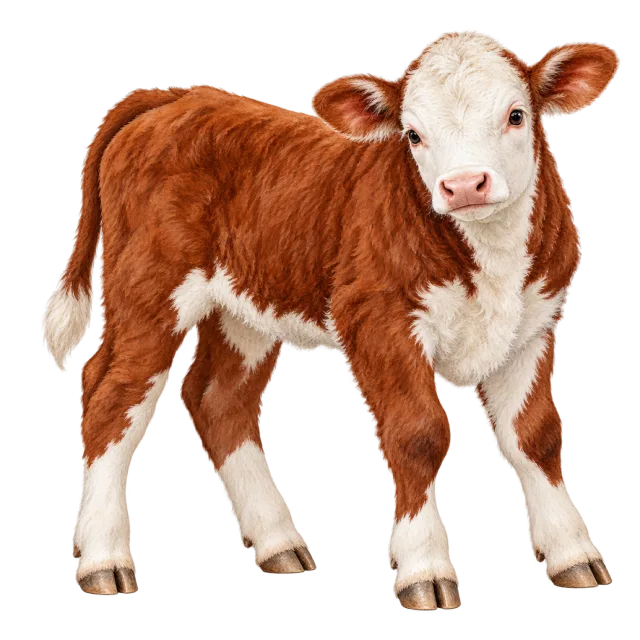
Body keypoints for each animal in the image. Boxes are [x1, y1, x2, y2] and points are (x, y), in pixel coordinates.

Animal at [43, 29, 621, 609]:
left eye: (516, 115)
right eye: (413, 134)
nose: (464, 185)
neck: (490, 262)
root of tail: (181, 96)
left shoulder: (536, 324)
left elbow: (536, 436)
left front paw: (574, 555)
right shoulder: (379, 320)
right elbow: (419, 434)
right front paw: (426, 570)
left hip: (247, 308)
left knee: (217, 399)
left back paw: (279, 545)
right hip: (147, 290)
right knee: (111, 397)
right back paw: (104, 562)